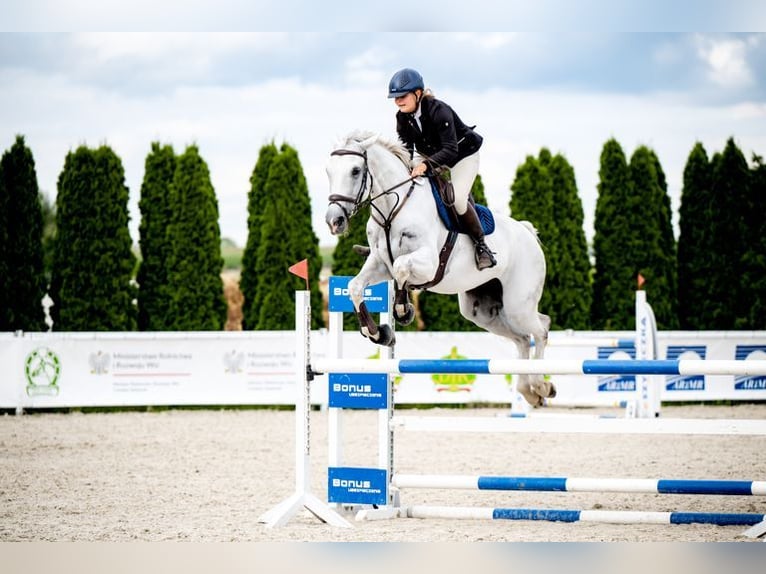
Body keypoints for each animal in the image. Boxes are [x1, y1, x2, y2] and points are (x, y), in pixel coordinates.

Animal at [324, 130, 554, 406]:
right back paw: (529, 391)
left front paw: (403, 311)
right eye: (328, 171)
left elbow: (401, 269)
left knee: (541, 329)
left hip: (518, 304)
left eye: (356, 170)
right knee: (522, 338)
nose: (334, 221)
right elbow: (355, 286)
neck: (393, 209)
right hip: (483, 312)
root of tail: (527, 232)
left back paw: (541, 386)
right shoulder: (379, 264)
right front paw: (378, 333)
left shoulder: (428, 263)